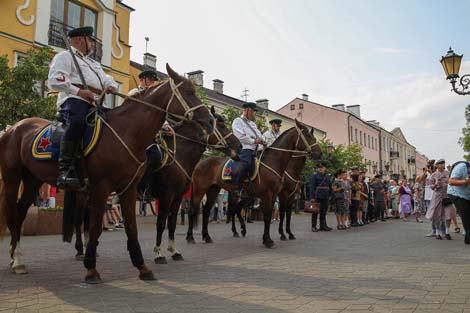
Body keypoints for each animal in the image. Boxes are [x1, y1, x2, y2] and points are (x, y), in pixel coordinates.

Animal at [0, 64, 213, 282]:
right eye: (188, 92)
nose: (210, 121)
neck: (126, 132)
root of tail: (14, 128)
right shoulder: (105, 187)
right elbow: (97, 227)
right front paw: (91, 268)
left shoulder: (130, 189)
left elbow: (133, 227)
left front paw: (142, 267)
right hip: (13, 178)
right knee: (16, 214)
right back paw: (20, 260)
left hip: (33, 180)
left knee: (21, 214)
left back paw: (16, 257)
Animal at [147, 106, 242, 264]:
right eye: (221, 126)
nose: (239, 145)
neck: (177, 155)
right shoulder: (166, 195)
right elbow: (161, 223)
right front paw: (159, 254)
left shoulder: (177, 196)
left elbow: (172, 222)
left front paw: (174, 251)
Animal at [185, 120, 322, 247]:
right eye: (308, 136)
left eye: (314, 137)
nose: (319, 153)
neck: (275, 163)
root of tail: (200, 163)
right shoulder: (275, 194)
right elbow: (271, 215)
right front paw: (272, 239)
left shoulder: (281, 195)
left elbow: (282, 214)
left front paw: (278, 236)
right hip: (200, 190)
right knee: (195, 210)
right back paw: (191, 237)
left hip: (215, 190)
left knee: (210, 211)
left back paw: (209, 236)